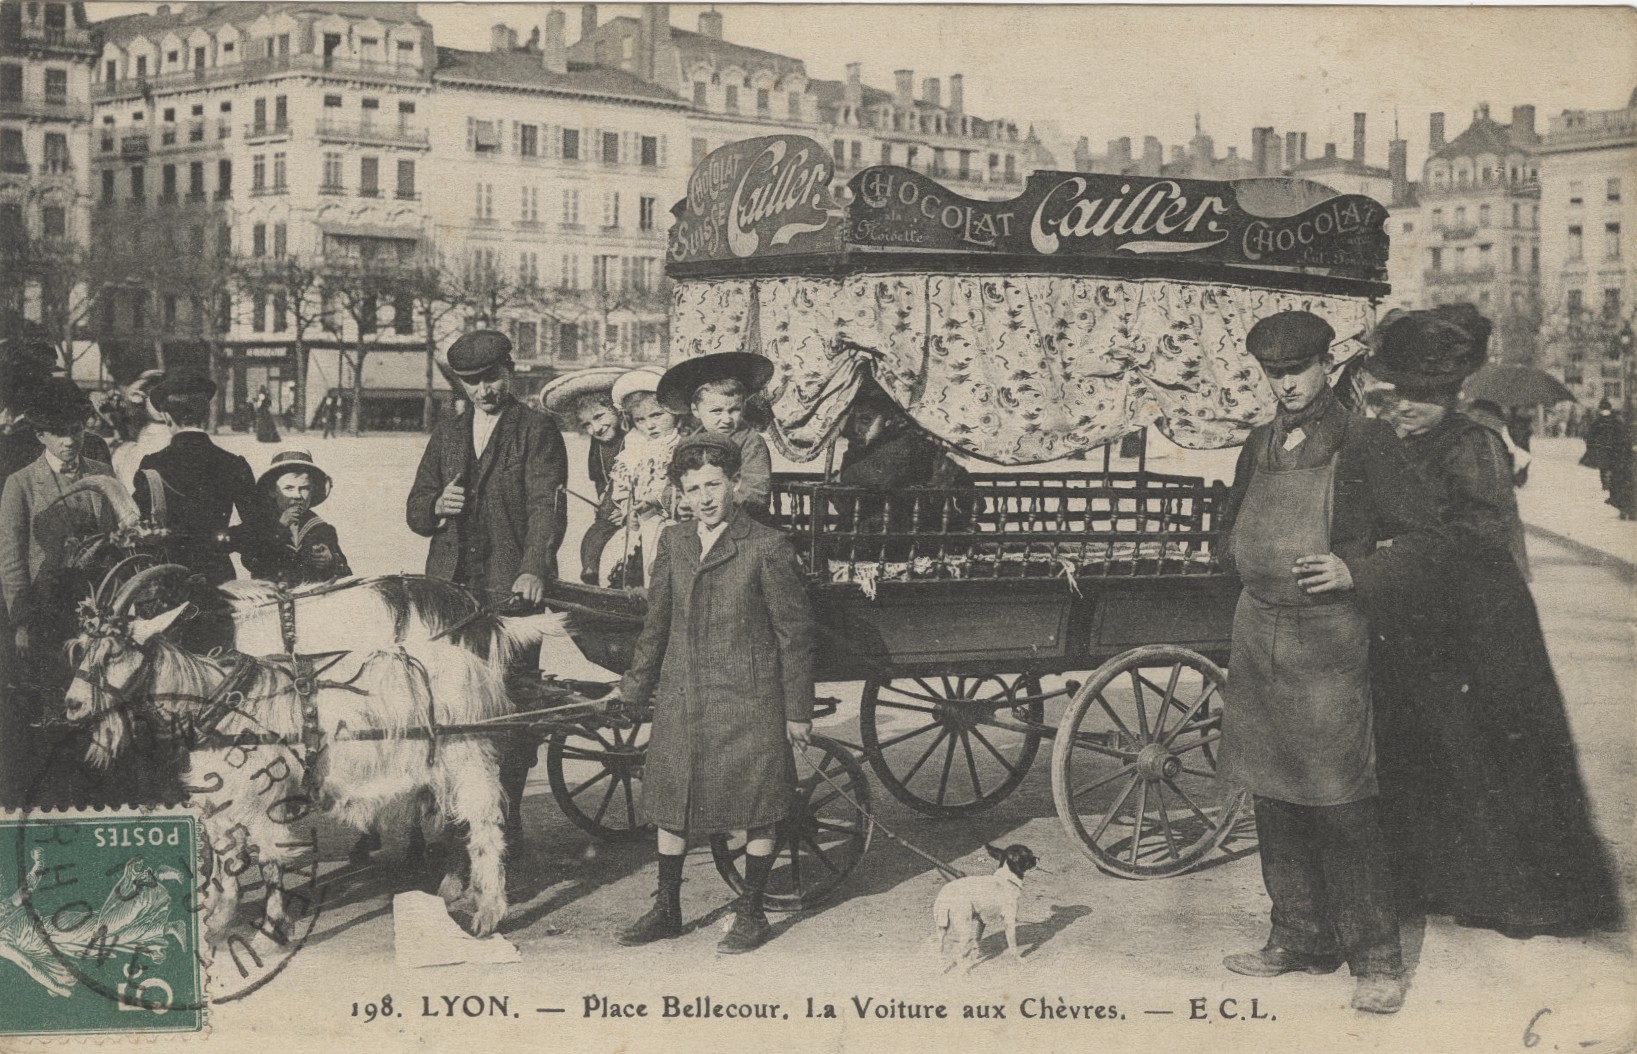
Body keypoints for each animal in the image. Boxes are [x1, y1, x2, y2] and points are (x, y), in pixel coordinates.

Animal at [936, 844, 1034, 975]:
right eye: (1029, 854)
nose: (1037, 859)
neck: (1006, 879)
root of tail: (944, 895)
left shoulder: (981, 922)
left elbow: (976, 942)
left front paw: (975, 955)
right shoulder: (1009, 921)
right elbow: (1013, 944)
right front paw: (1019, 960)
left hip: (941, 930)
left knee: (940, 950)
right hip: (964, 929)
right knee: (956, 952)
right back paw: (964, 971)